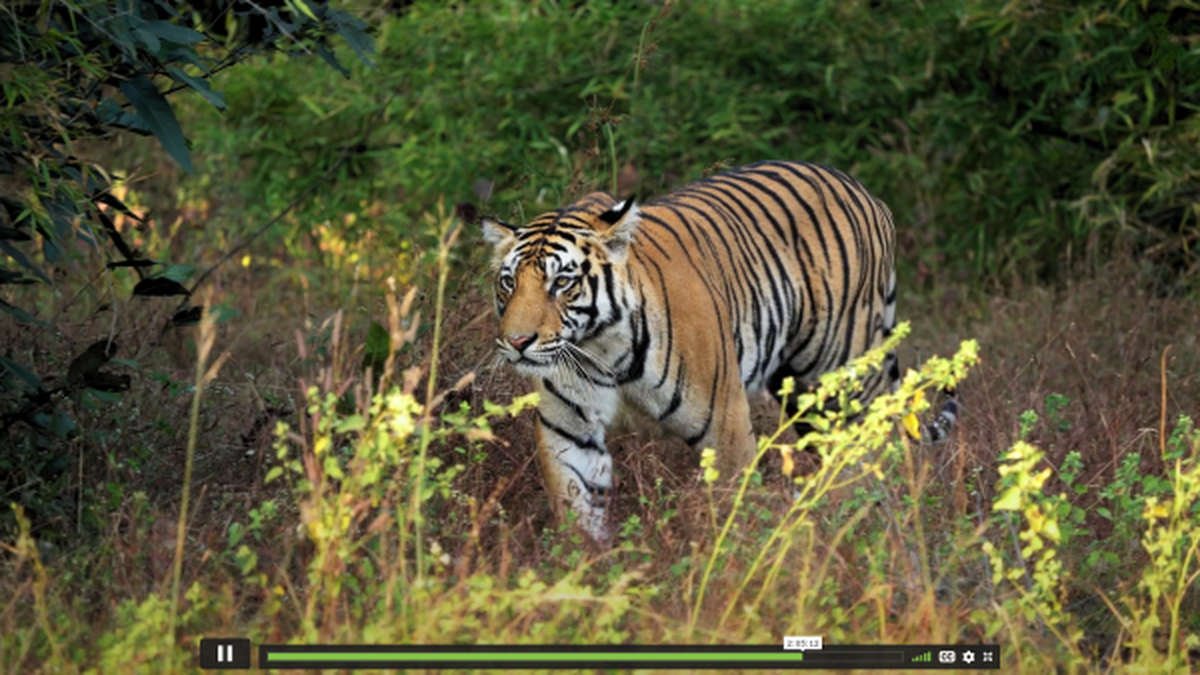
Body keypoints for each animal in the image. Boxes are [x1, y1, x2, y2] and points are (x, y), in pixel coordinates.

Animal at [477, 158, 955, 540]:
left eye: (562, 282)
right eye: (509, 283)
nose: (517, 342)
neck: (600, 348)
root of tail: (867, 194)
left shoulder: (724, 422)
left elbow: (732, 510)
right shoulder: (567, 429)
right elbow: (575, 508)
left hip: (844, 376)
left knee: (873, 454)